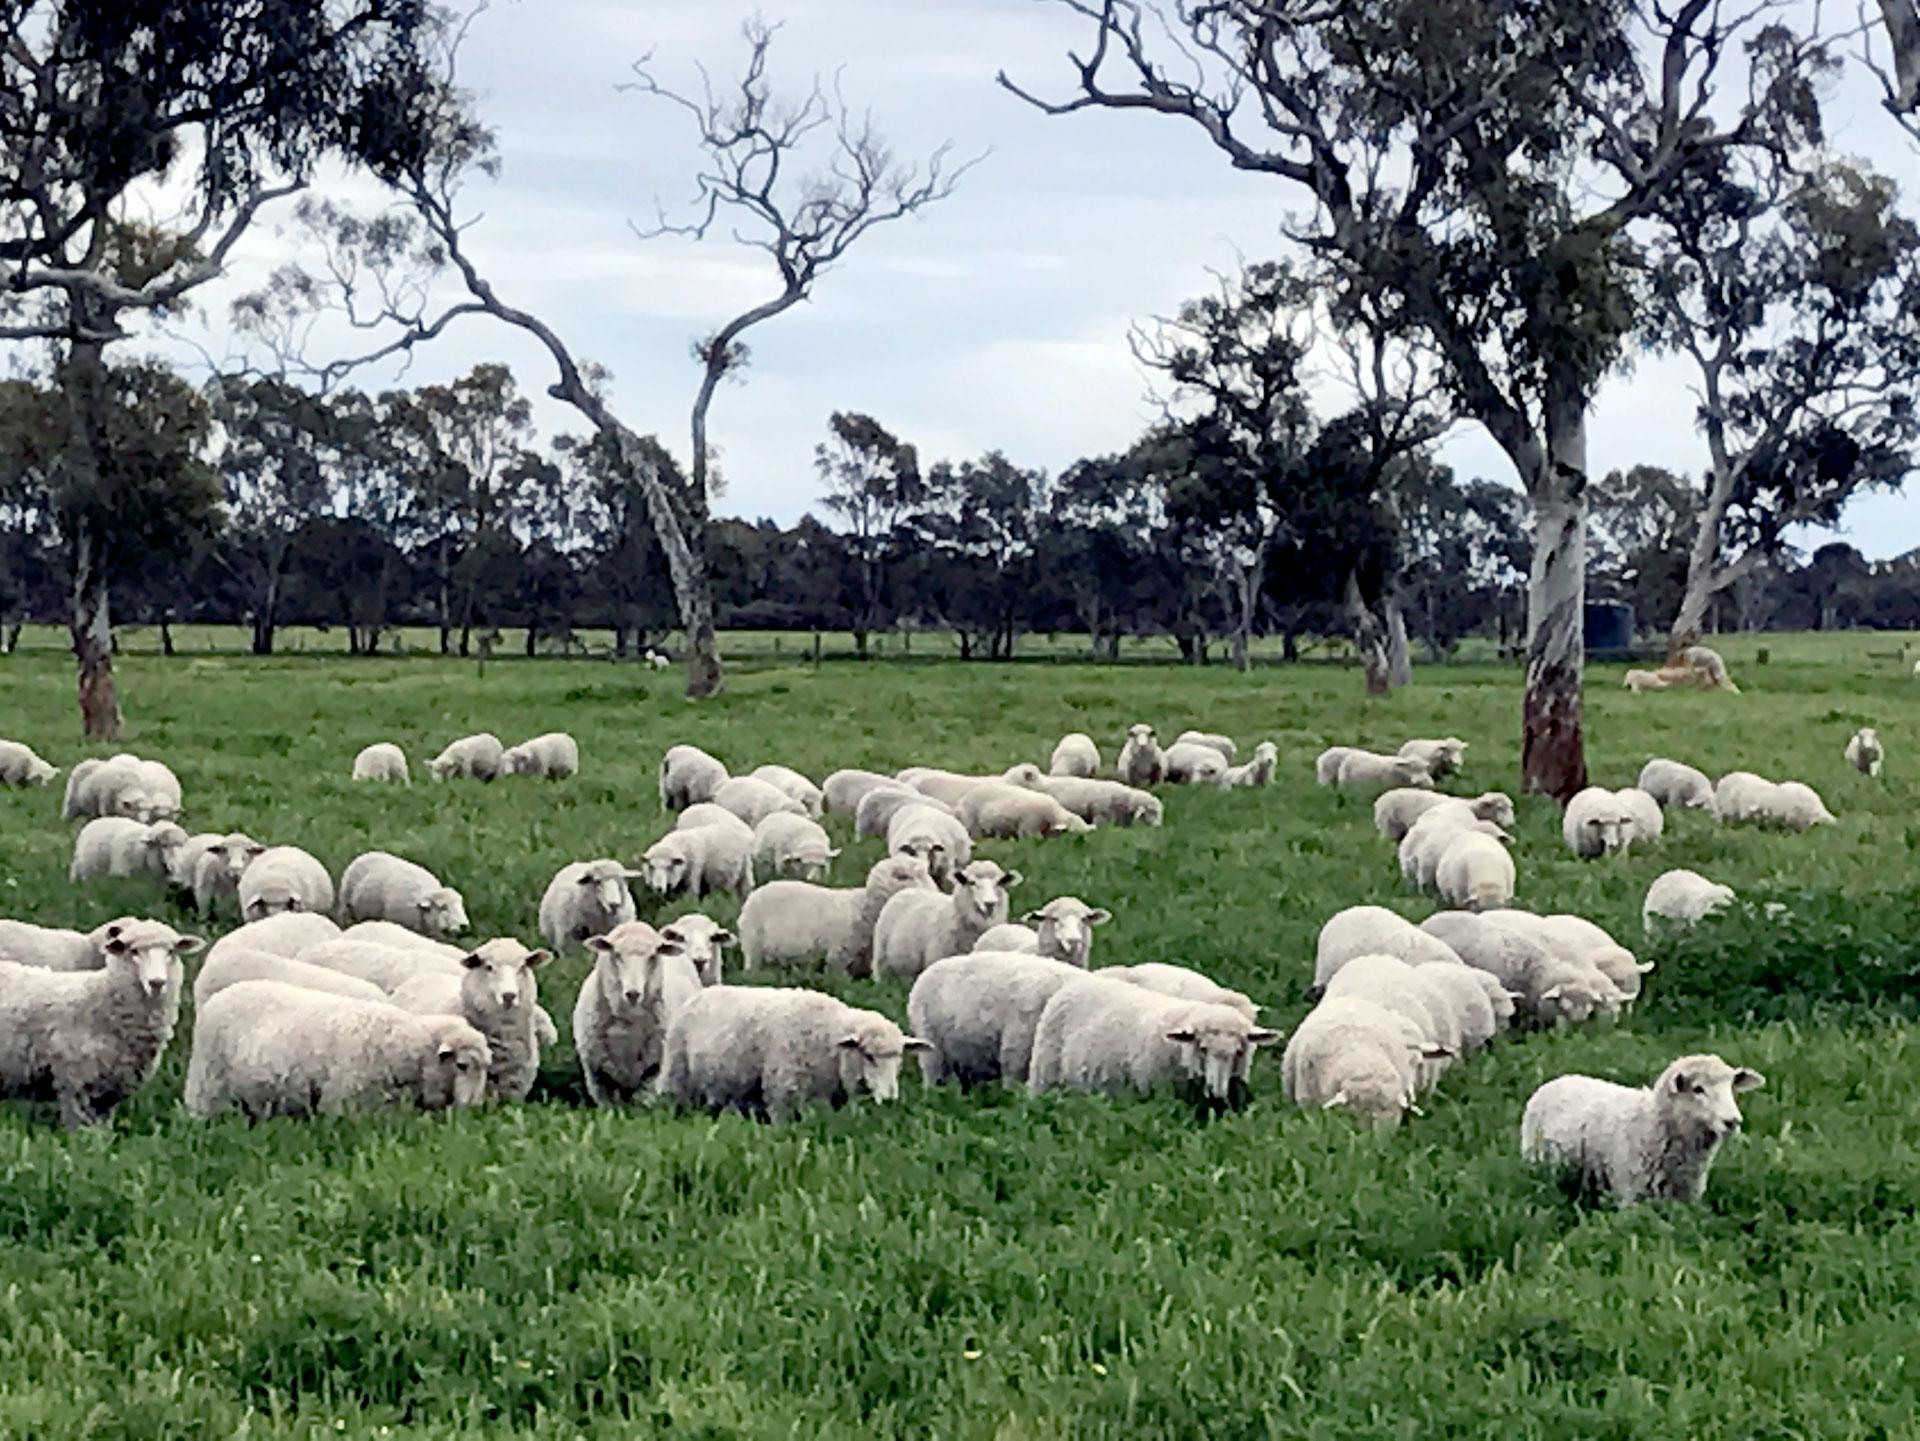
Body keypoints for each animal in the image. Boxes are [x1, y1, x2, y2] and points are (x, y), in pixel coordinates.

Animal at [656, 985, 929, 1121]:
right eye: (869, 1056)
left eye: (899, 1058)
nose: (890, 1099)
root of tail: (699, 994)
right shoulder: (782, 1093)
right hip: (678, 1076)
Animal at [737, 856, 937, 976]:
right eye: (905, 877)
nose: (935, 892)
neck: (865, 909)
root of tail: (753, 896)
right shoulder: (837, 957)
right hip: (753, 943)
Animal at [1521, 1054, 1763, 1206]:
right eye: (1698, 1089)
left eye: (1731, 1087)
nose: (1733, 1121)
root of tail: (1557, 1080)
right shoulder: (1630, 1192)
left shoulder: (1687, 1197)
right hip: (1536, 1159)